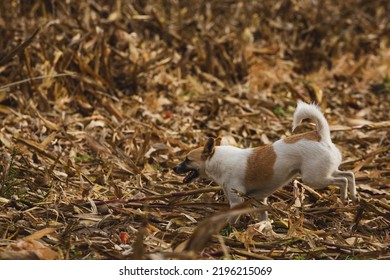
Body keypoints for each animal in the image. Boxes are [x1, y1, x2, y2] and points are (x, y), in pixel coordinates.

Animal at [173, 100, 356, 221]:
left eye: (187, 159)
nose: (174, 168)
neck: (217, 160)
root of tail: (320, 136)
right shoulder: (260, 200)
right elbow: (264, 218)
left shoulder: (236, 201)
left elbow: (231, 219)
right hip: (326, 172)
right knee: (349, 175)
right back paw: (351, 196)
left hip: (314, 178)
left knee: (342, 180)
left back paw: (345, 196)